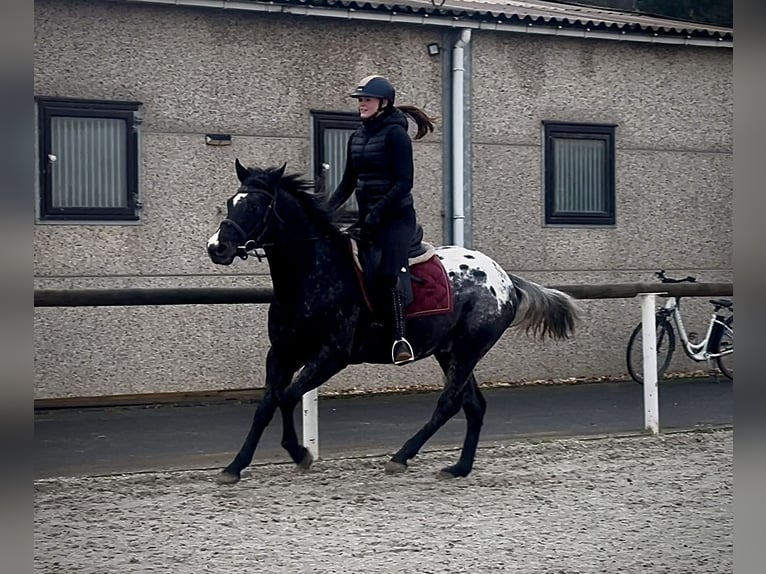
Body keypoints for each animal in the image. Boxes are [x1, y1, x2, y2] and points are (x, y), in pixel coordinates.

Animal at [206, 159, 579, 483]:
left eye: (257, 206)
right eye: (230, 202)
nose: (217, 248)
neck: (311, 275)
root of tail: (505, 279)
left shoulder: (330, 357)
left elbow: (287, 397)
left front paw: (300, 453)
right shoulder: (282, 354)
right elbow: (266, 406)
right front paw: (234, 467)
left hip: (468, 350)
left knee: (449, 404)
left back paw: (402, 456)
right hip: (450, 351)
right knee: (473, 405)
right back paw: (459, 467)